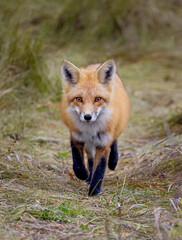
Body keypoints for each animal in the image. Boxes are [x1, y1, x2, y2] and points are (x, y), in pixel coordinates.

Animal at [60, 59, 129, 196]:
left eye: (97, 99)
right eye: (79, 99)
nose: (87, 117)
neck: (90, 131)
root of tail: (95, 64)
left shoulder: (103, 144)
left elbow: (99, 171)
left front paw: (94, 192)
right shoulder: (76, 137)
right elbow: (78, 164)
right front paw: (84, 175)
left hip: (114, 130)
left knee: (114, 141)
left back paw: (113, 162)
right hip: (89, 145)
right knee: (90, 159)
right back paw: (88, 177)